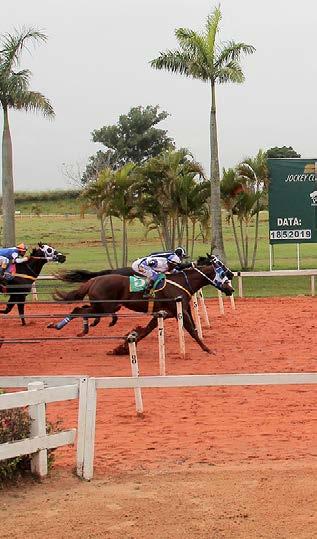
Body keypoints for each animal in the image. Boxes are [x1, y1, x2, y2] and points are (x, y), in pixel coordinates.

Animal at [51, 260, 233, 354]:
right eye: (223, 272)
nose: (231, 289)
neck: (182, 281)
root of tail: (93, 280)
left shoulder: (165, 312)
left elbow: (146, 330)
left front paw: (124, 346)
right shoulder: (177, 310)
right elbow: (192, 330)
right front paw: (208, 349)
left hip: (102, 306)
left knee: (81, 310)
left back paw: (80, 328)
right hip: (103, 307)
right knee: (79, 310)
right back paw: (63, 326)